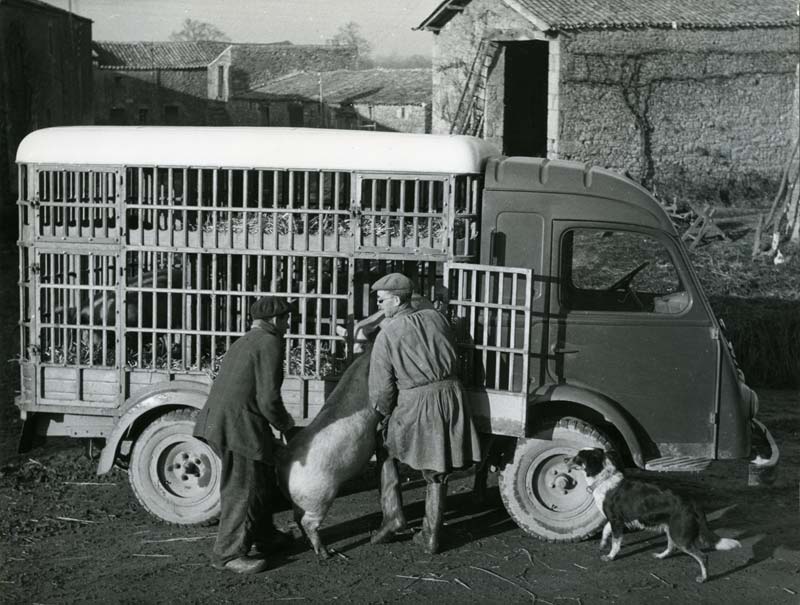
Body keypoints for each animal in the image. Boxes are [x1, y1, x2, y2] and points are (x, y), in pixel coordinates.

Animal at [564, 448, 740, 580]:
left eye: (578, 457)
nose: (565, 459)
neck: (604, 479)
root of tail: (692, 503)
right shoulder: (616, 520)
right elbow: (606, 531)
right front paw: (602, 544)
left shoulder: (616, 520)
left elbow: (615, 542)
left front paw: (610, 556)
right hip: (671, 530)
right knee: (671, 547)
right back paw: (661, 556)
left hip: (680, 536)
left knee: (703, 557)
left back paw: (703, 578)